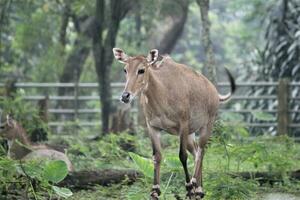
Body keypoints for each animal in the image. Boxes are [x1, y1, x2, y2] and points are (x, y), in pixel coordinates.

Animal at [113, 48, 237, 198]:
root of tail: (214, 91)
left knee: (201, 151)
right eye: (125, 70)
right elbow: (157, 156)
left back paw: (195, 185)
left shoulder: (182, 124)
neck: (163, 92)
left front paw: (188, 187)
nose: (125, 96)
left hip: (207, 125)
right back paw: (199, 189)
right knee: (196, 151)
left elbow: (182, 156)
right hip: (190, 134)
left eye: (141, 70)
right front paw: (155, 191)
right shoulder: (153, 127)